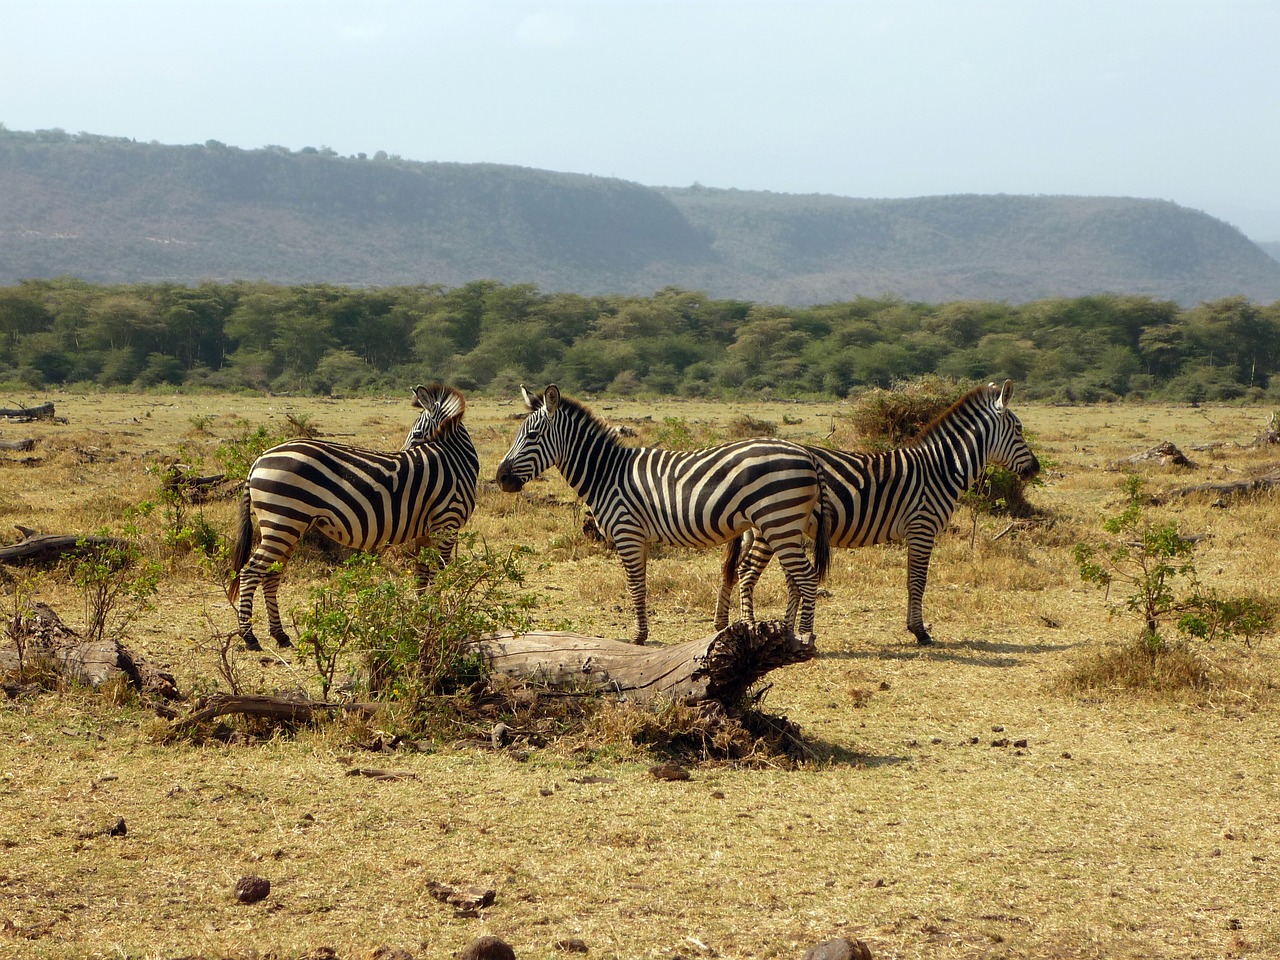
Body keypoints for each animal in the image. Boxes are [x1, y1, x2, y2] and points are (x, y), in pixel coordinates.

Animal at [227, 384, 478, 655]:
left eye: (417, 433)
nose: (403, 451)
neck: (455, 460)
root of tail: (258, 460)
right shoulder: (447, 523)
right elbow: (440, 575)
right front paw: (440, 619)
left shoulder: (427, 531)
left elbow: (423, 575)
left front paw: (423, 619)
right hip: (282, 523)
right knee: (250, 573)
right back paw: (250, 637)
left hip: (287, 526)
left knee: (271, 576)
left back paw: (280, 635)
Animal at [488, 386, 829, 647]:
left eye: (532, 435)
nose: (501, 478)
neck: (607, 474)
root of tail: (807, 454)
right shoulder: (639, 537)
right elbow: (640, 584)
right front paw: (642, 632)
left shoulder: (627, 532)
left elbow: (635, 586)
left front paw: (638, 637)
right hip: (786, 525)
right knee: (796, 578)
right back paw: (790, 634)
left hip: (778, 521)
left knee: (807, 577)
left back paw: (805, 637)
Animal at [716, 381, 1034, 647]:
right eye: (1019, 429)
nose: (1036, 468)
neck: (939, 470)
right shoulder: (922, 527)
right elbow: (917, 580)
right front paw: (919, 631)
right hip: (773, 525)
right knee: (747, 572)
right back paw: (750, 627)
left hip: (765, 528)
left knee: (736, 569)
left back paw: (727, 626)